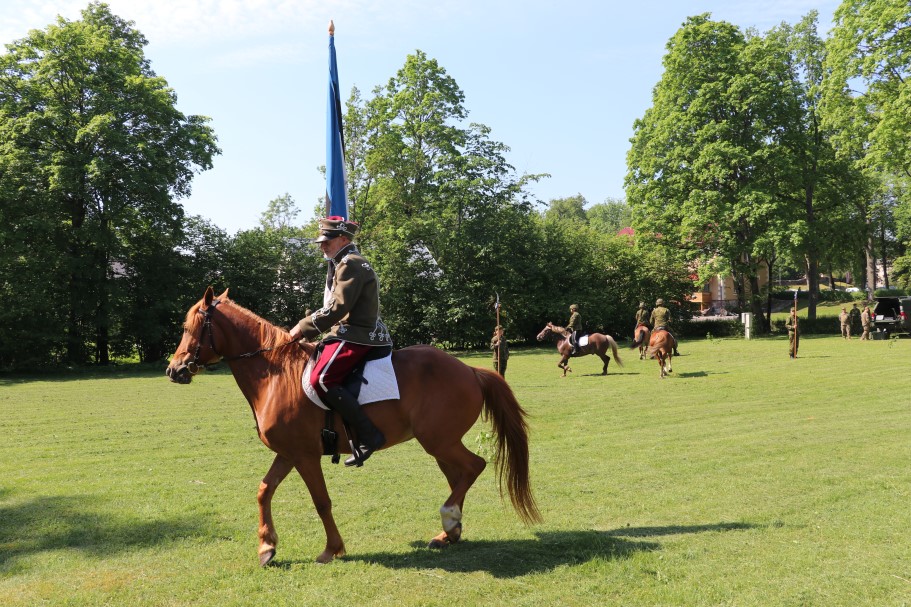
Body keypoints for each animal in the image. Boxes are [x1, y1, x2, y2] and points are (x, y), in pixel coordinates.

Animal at [166, 287, 541, 565]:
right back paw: (449, 532)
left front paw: (331, 549)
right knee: (459, 476)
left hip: (439, 441)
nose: (174, 370)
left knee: (473, 467)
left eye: (187, 328)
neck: (276, 374)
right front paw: (267, 548)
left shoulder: (305, 456)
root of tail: (470, 370)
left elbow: (321, 501)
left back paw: (448, 519)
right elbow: (264, 490)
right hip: (440, 445)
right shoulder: (288, 453)